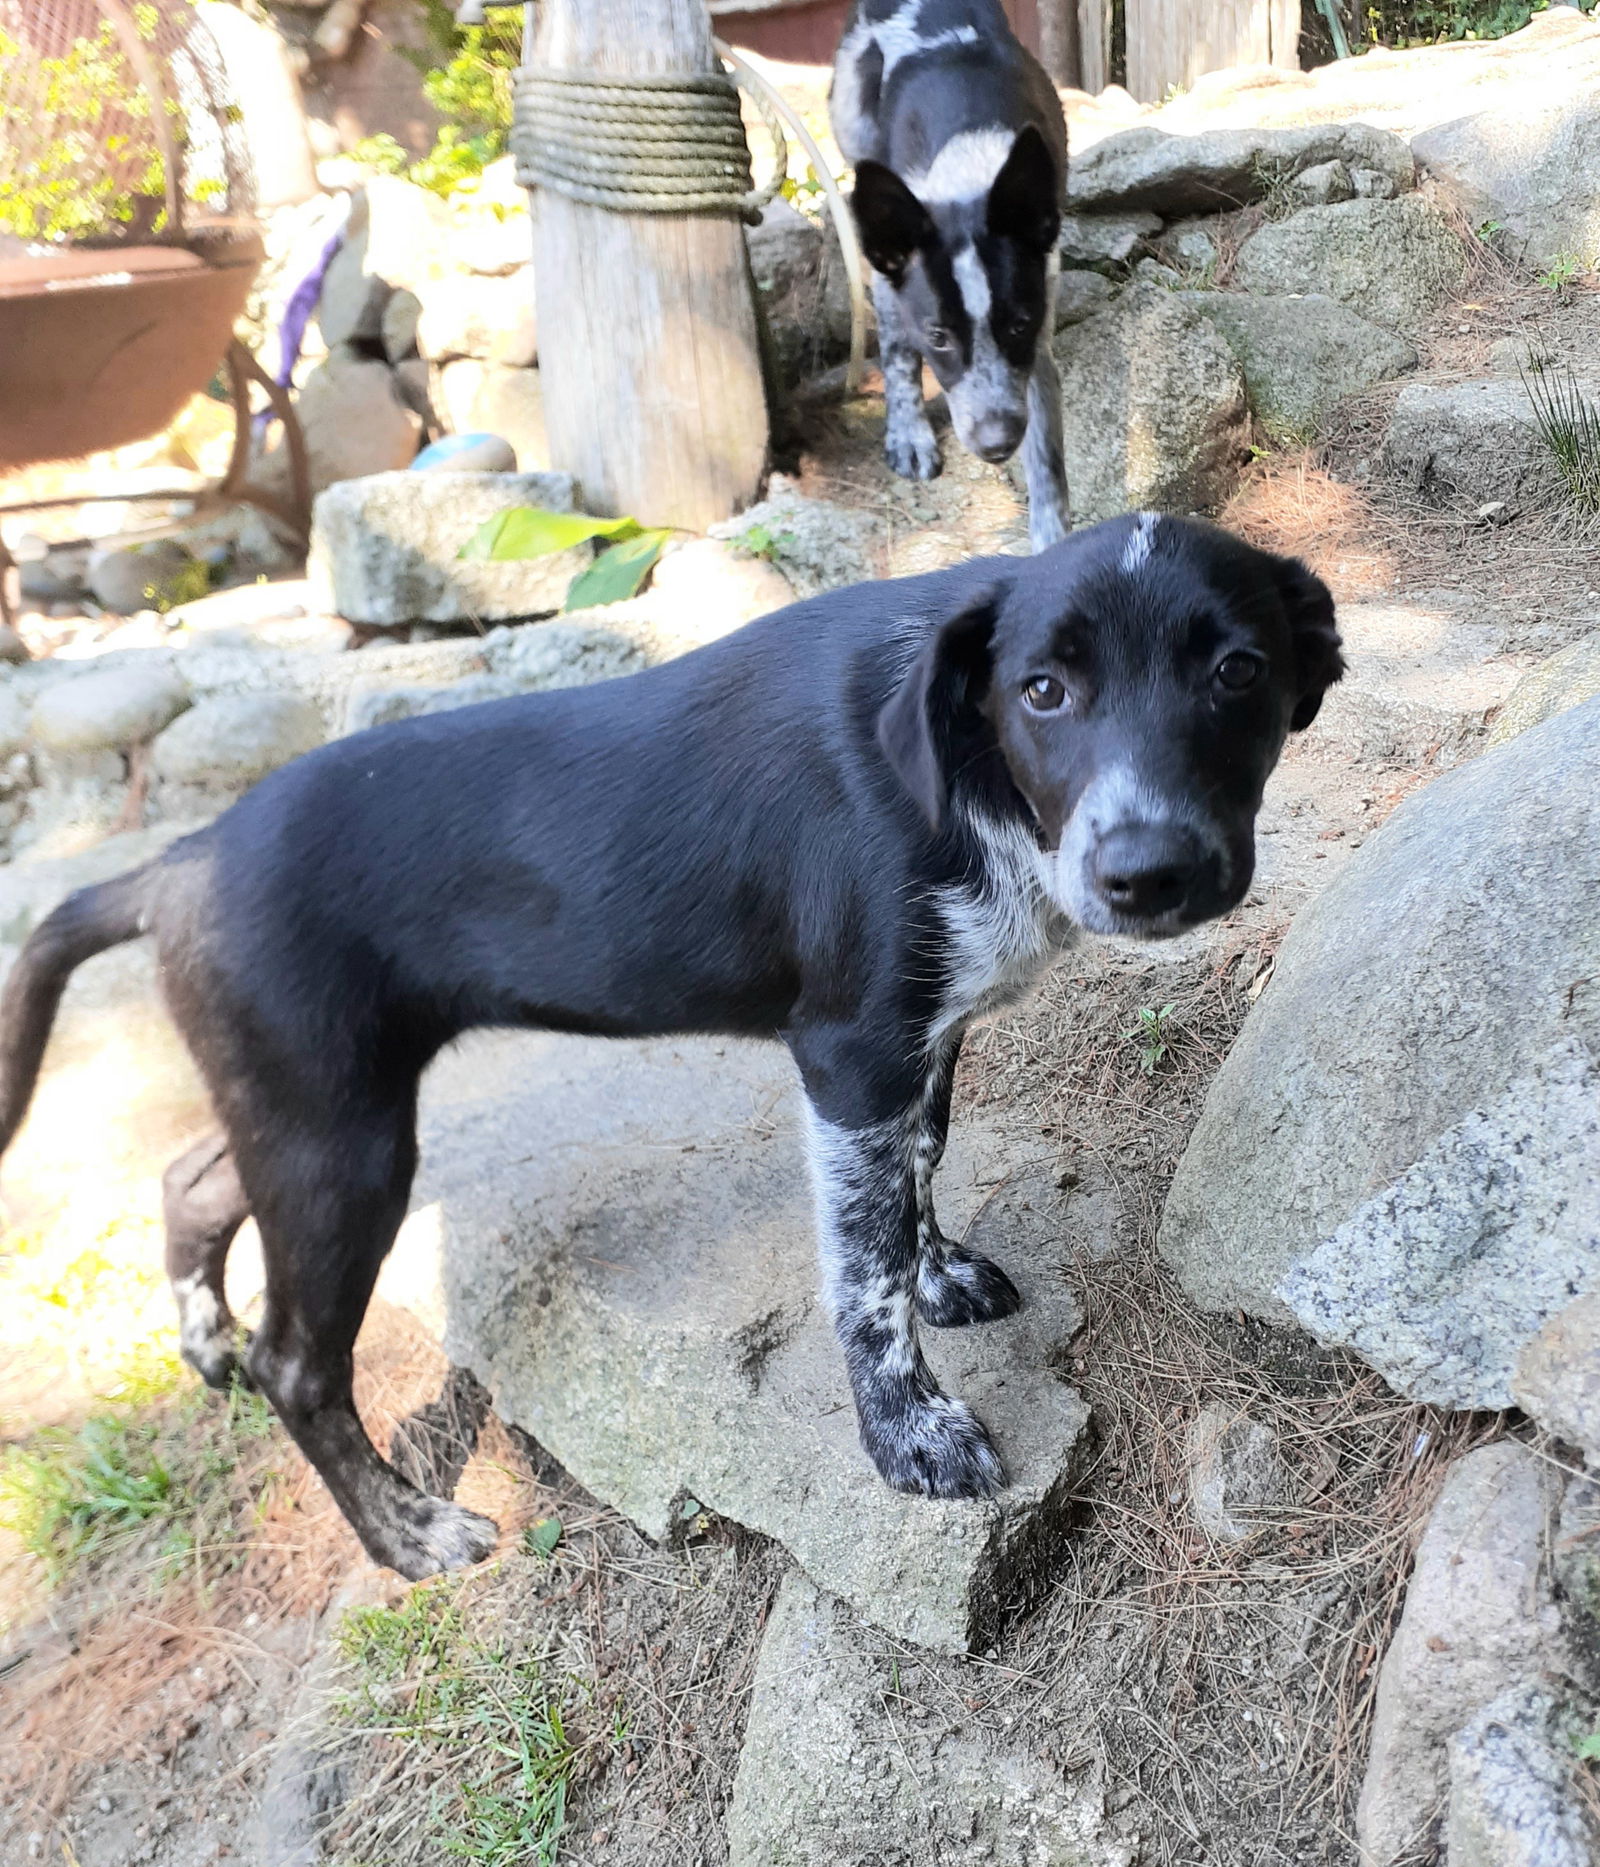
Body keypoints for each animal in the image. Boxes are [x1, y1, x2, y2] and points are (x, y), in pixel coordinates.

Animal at [0, 519, 1336, 1583]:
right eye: (1044, 690)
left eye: (1239, 671)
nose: (1147, 873)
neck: (960, 765)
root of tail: (180, 862)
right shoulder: (850, 1054)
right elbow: (860, 1276)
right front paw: (908, 1434)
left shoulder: (922, 1041)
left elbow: (914, 1180)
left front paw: (940, 1272)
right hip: (345, 1140)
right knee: (300, 1366)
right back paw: (405, 1533)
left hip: (302, 1110)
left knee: (191, 1179)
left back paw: (202, 1343)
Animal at [828, 0, 1067, 548]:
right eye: (938, 336)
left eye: (1019, 324)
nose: (996, 444)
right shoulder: (894, 280)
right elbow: (899, 355)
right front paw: (909, 435)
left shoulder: (1037, 349)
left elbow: (1046, 464)